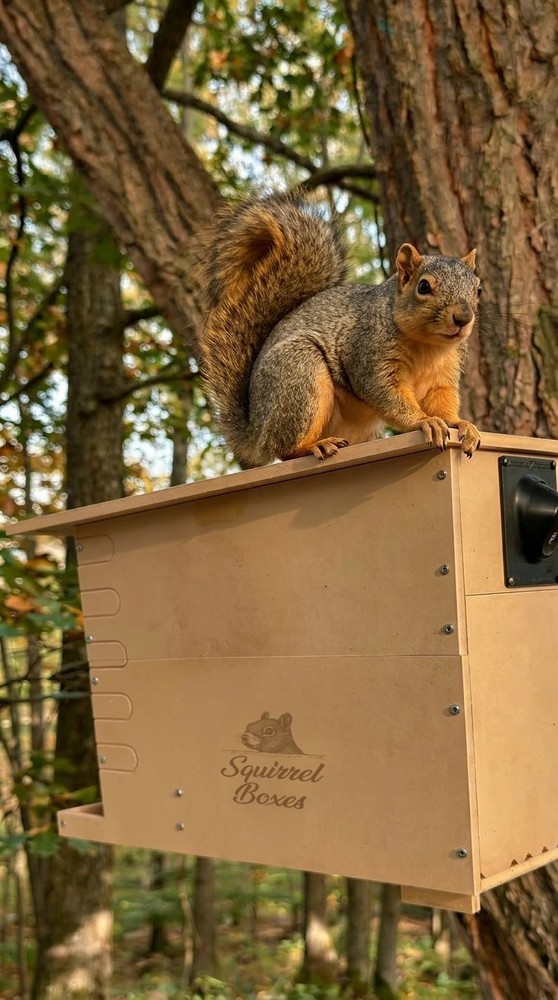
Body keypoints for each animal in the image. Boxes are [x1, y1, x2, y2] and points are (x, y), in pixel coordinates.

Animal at [199, 192, 482, 466]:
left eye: (478, 289)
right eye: (423, 286)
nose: (463, 318)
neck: (429, 345)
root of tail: (256, 432)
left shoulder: (443, 376)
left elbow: (443, 401)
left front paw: (461, 424)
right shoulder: (368, 355)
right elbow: (385, 394)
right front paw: (424, 421)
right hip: (299, 372)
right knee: (285, 449)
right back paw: (314, 446)